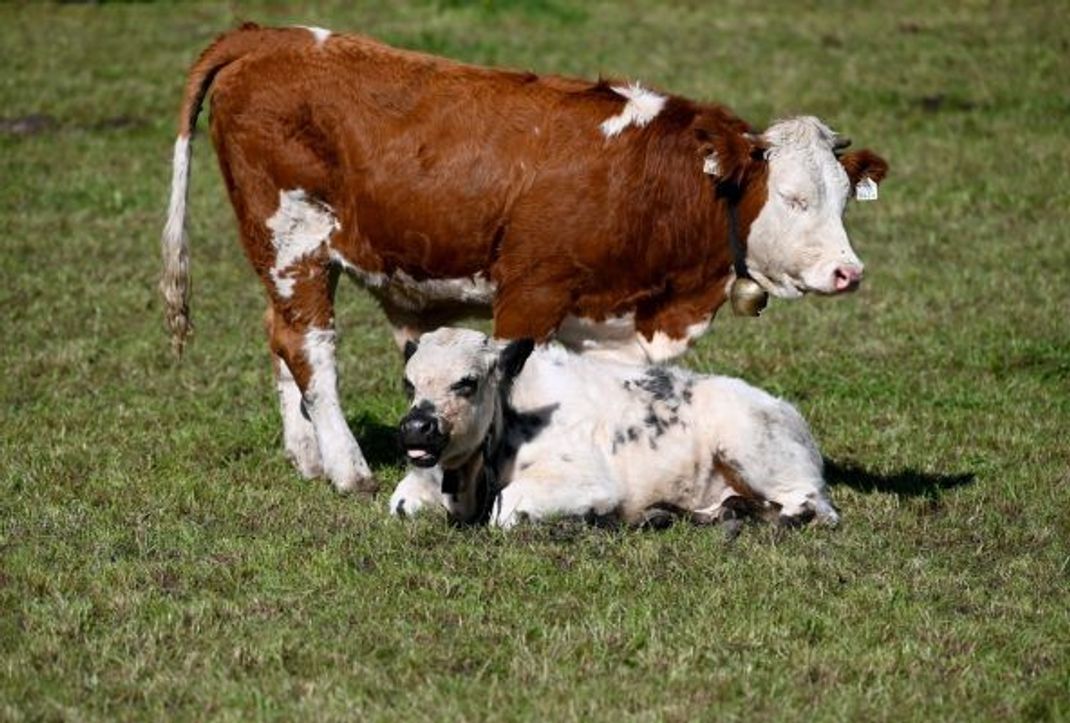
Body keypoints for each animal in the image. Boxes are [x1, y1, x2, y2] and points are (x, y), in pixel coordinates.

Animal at [162, 24, 890, 496]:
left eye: (842, 199)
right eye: (793, 198)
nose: (847, 272)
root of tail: (268, 35)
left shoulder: (605, 319)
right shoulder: (530, 293)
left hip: (280, 257)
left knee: (280, 337)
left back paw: (307, 456)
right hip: (297, 244)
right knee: (308, 347)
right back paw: (347, 468)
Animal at [389, 329, 838, 528]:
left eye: (467, 382)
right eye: (409, 384)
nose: (416, 427)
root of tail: (786, 409)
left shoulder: (589, 479)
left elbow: (506, 508)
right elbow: (401, 504)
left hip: (751, 446)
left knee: (815, 508)